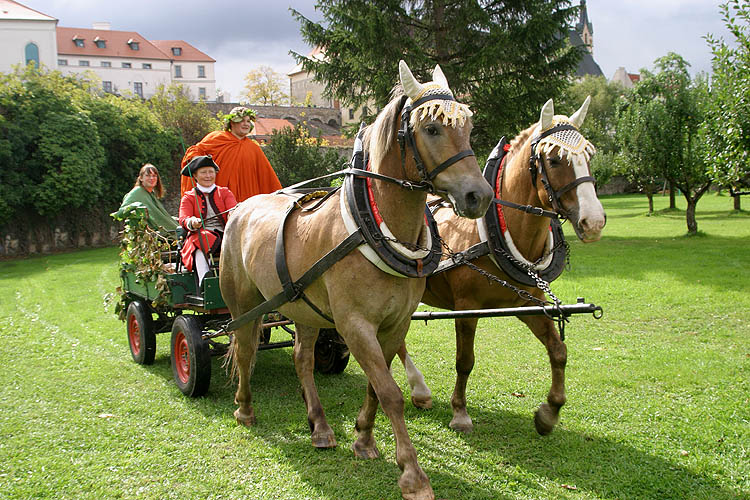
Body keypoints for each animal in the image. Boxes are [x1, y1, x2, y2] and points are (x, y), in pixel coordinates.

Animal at [220, 59, 496, 500]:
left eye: (467, 126)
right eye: (432, 129)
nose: (479, 196)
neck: (374, 228)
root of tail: (241, 208)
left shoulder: (394, 324)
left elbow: (375, 386)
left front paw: (364, 438)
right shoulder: (355, 323)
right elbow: (390, 393)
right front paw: (412, 473)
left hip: (304, 307)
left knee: (301, 358)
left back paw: (319, 425)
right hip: (243, 305)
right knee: (244, 350)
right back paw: (245, 407)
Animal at [402, 95, 608, 436]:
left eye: (590, 155)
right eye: (554, 160)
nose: (593, 222)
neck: (492, 230)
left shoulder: (529, 302)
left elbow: (558, 350)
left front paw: (549, 412)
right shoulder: (466, 306)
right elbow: (465, 361)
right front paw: (460, 412)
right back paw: (418, 388)